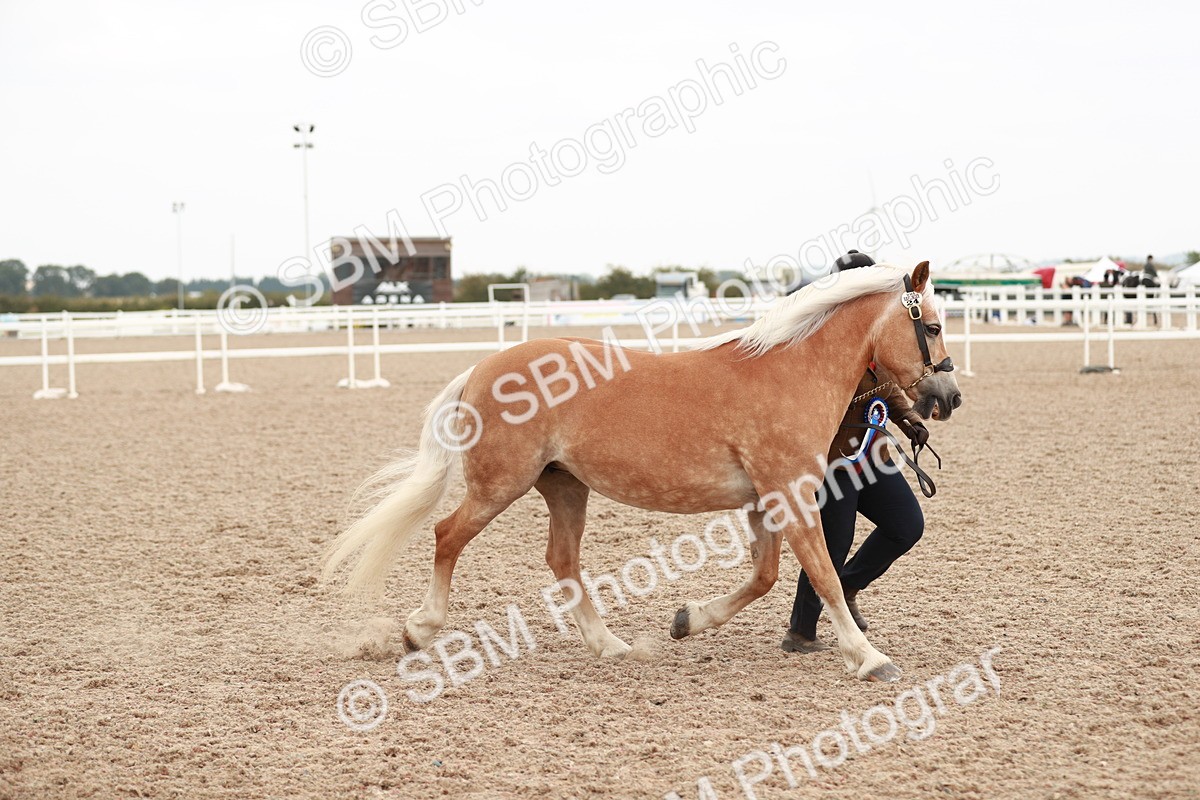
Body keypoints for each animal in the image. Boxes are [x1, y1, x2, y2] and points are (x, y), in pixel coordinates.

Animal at [323, 262, 961, 682]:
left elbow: (765, 576)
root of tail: (481, 368)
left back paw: (612, 646)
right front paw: (871, 659)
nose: (947, 398)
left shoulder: (765, 501)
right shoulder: (790, 494)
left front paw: (687, 620)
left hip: (564, 486)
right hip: (499, 485)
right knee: (447, 535)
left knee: (562, 560)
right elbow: (825, 576)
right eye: (930, 326)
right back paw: (420, 629)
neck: (790, 371)